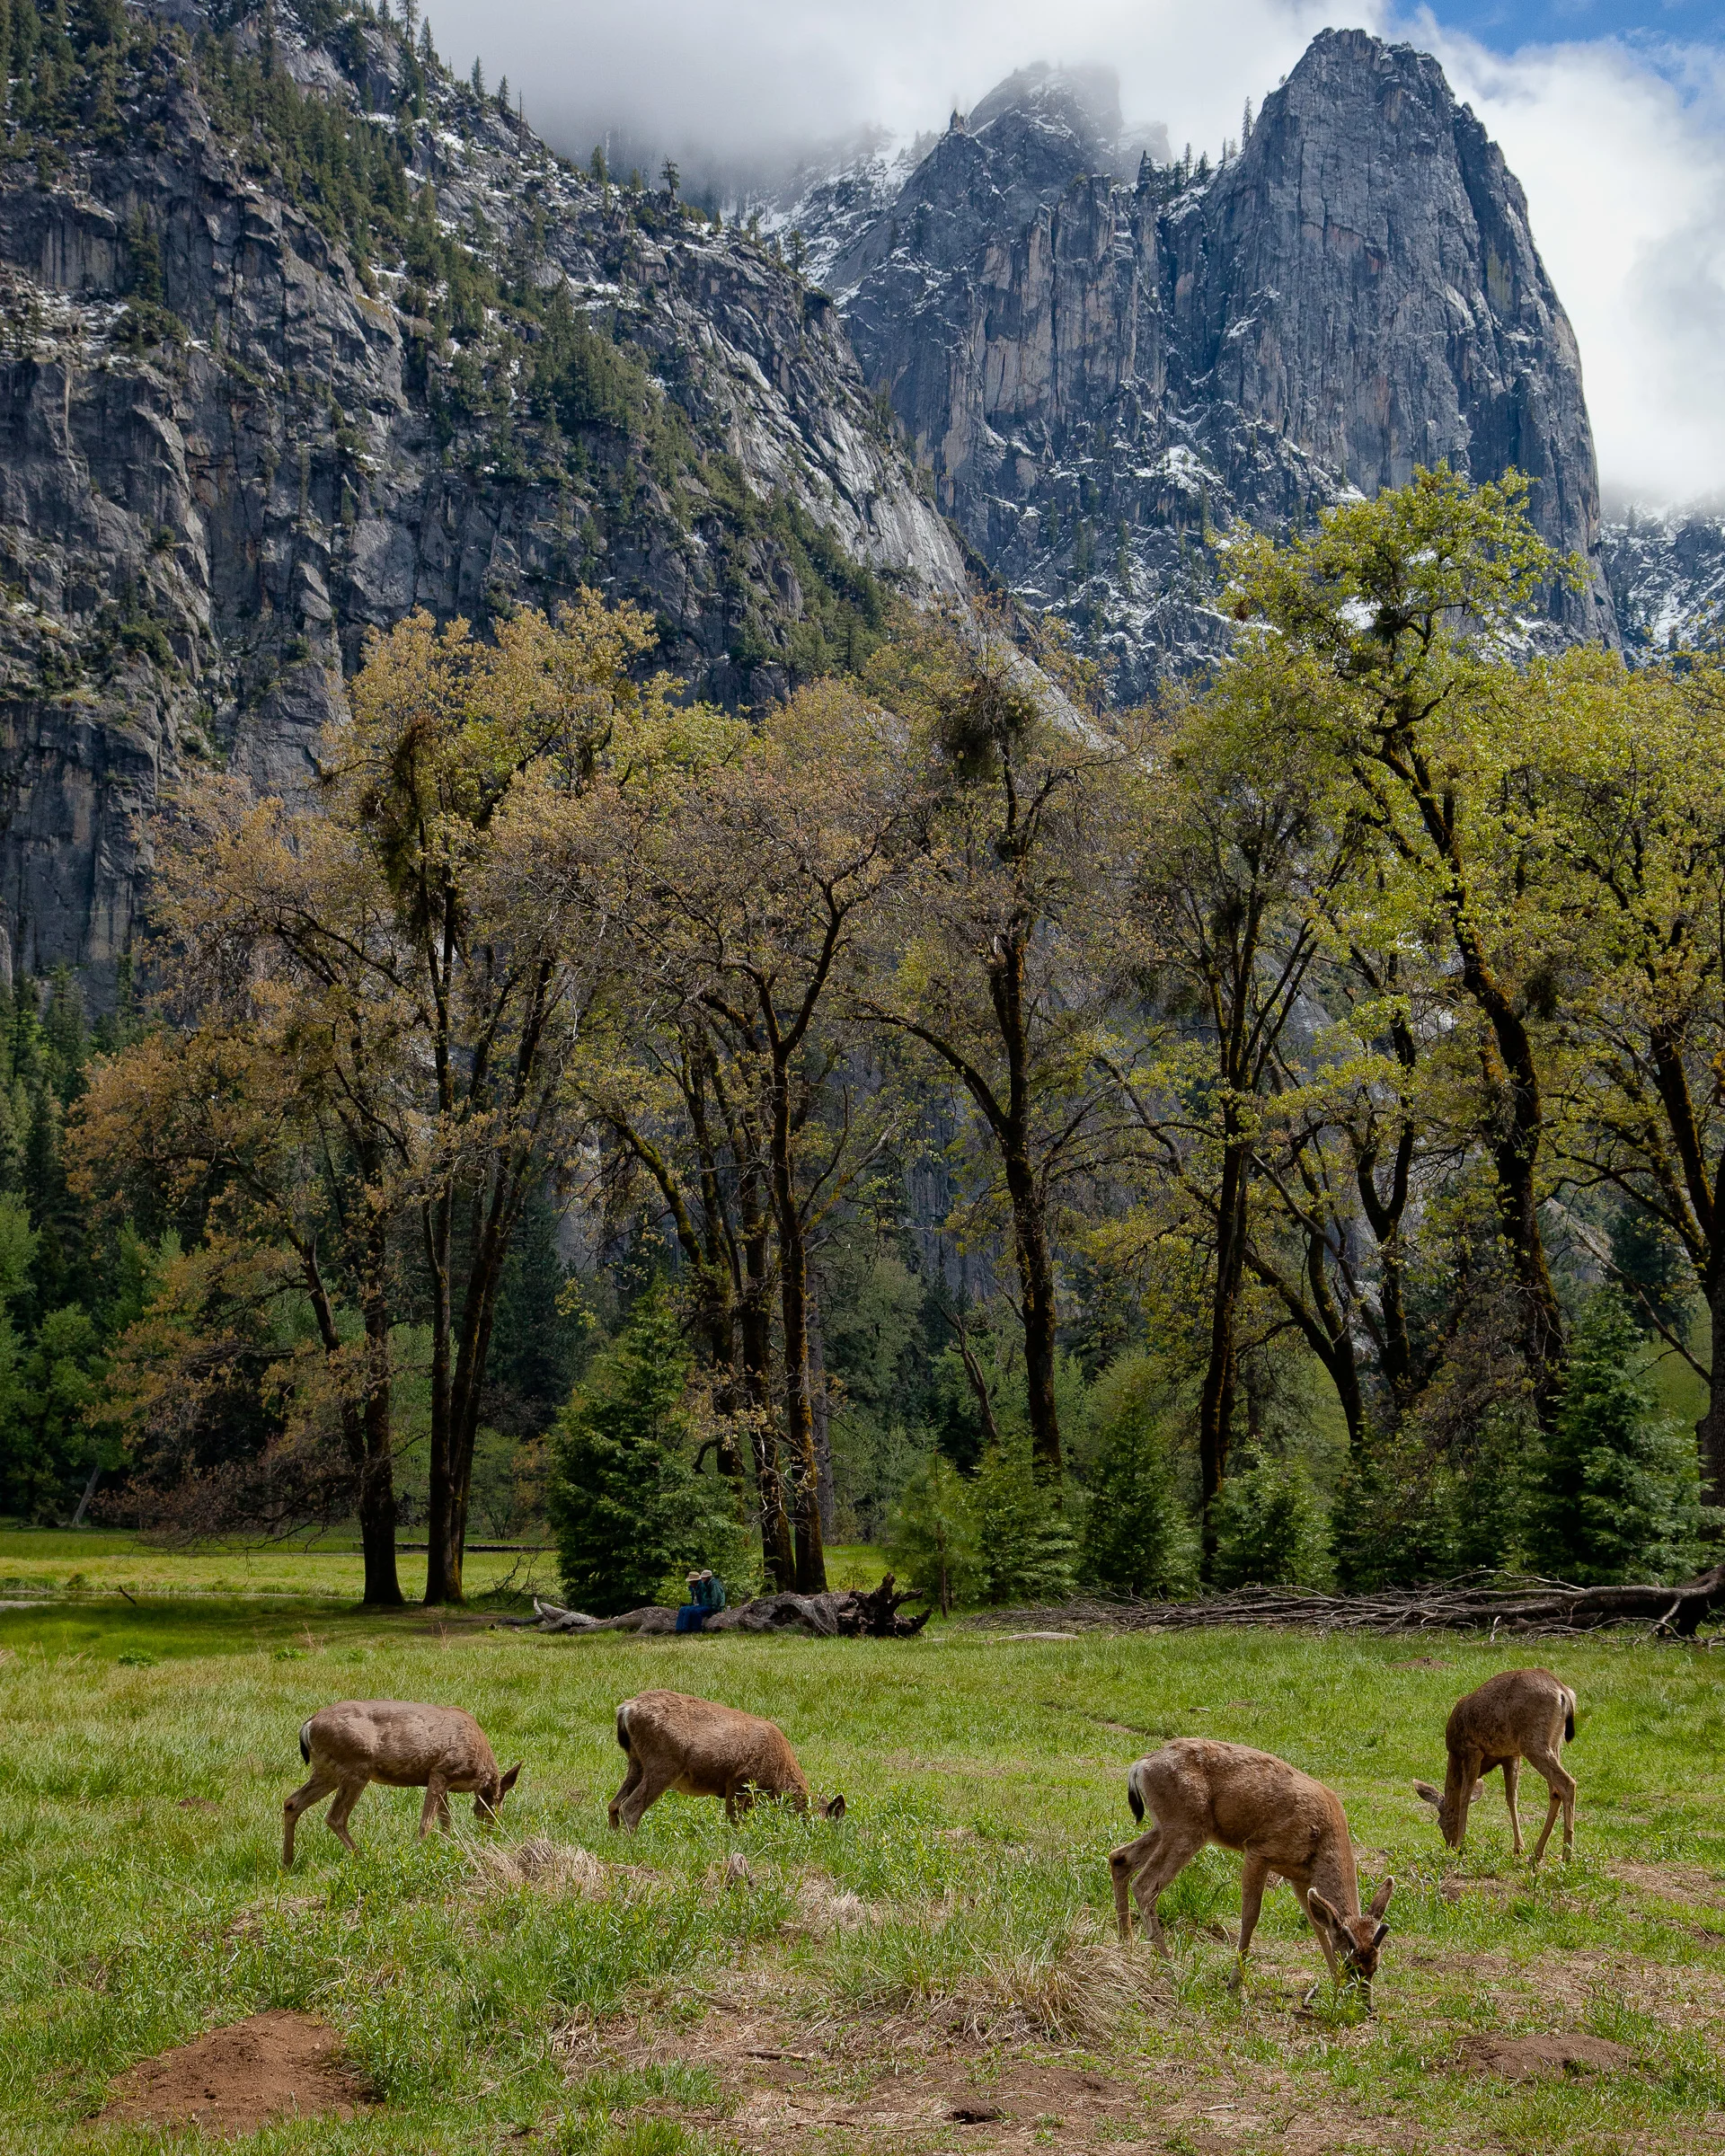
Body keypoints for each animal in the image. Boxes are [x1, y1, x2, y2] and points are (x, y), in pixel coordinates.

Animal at [282, 1701, 521, 1866]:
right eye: (494, 1810)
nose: (489, 1835)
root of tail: (308, 1726)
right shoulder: (441, 1771)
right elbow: (427, 1822)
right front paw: (419, 1851)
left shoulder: (443, 1781)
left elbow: (445, 1821)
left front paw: (447, 1846)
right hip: (356, 1766)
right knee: (335, 1816)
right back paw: (362, 1858)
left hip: (326, 1771)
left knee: (292, 1802)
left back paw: (288, 1863)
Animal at [609, 1689, 845, 1830]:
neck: (777, 1780)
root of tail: (626, 1709)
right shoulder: (739, 1782)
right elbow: (735, 1822)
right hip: (663, 1763)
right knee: (630, 1808)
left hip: (636, 1761)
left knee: (614, 1804)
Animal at [1108, 1737, 1394, 2007]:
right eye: (1350, 1964)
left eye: (1375, 1966)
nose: (1364, 2006)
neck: (1320, 1840)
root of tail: (1140, 1765)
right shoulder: (1259, 1850)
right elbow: (1251, 1917)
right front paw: (1237, 1987)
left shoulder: (1299, 1878)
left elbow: (1317, 1926)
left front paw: (1334, 1986)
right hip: (1186, 1826)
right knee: (1145, 1885)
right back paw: (1171, 1971)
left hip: (1168, 1826)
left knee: (1119, 1858)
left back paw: (1126, 1949)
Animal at [1414, 1667, 1577, 1866]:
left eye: (1440, 1822)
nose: (1449, 1845)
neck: (1454, 1755)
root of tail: (1563, 1691)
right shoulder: (1510, 1755)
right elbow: (1511, 1797)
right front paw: (1519, 1847)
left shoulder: (1472, 1749)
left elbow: (1465, 1796)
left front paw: (1461, 1845)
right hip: (1554, 1743)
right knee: (1555, 1791)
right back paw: (1537, 1853)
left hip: (1533, 1741)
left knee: (1567, 1783)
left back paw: (1566, 1854)